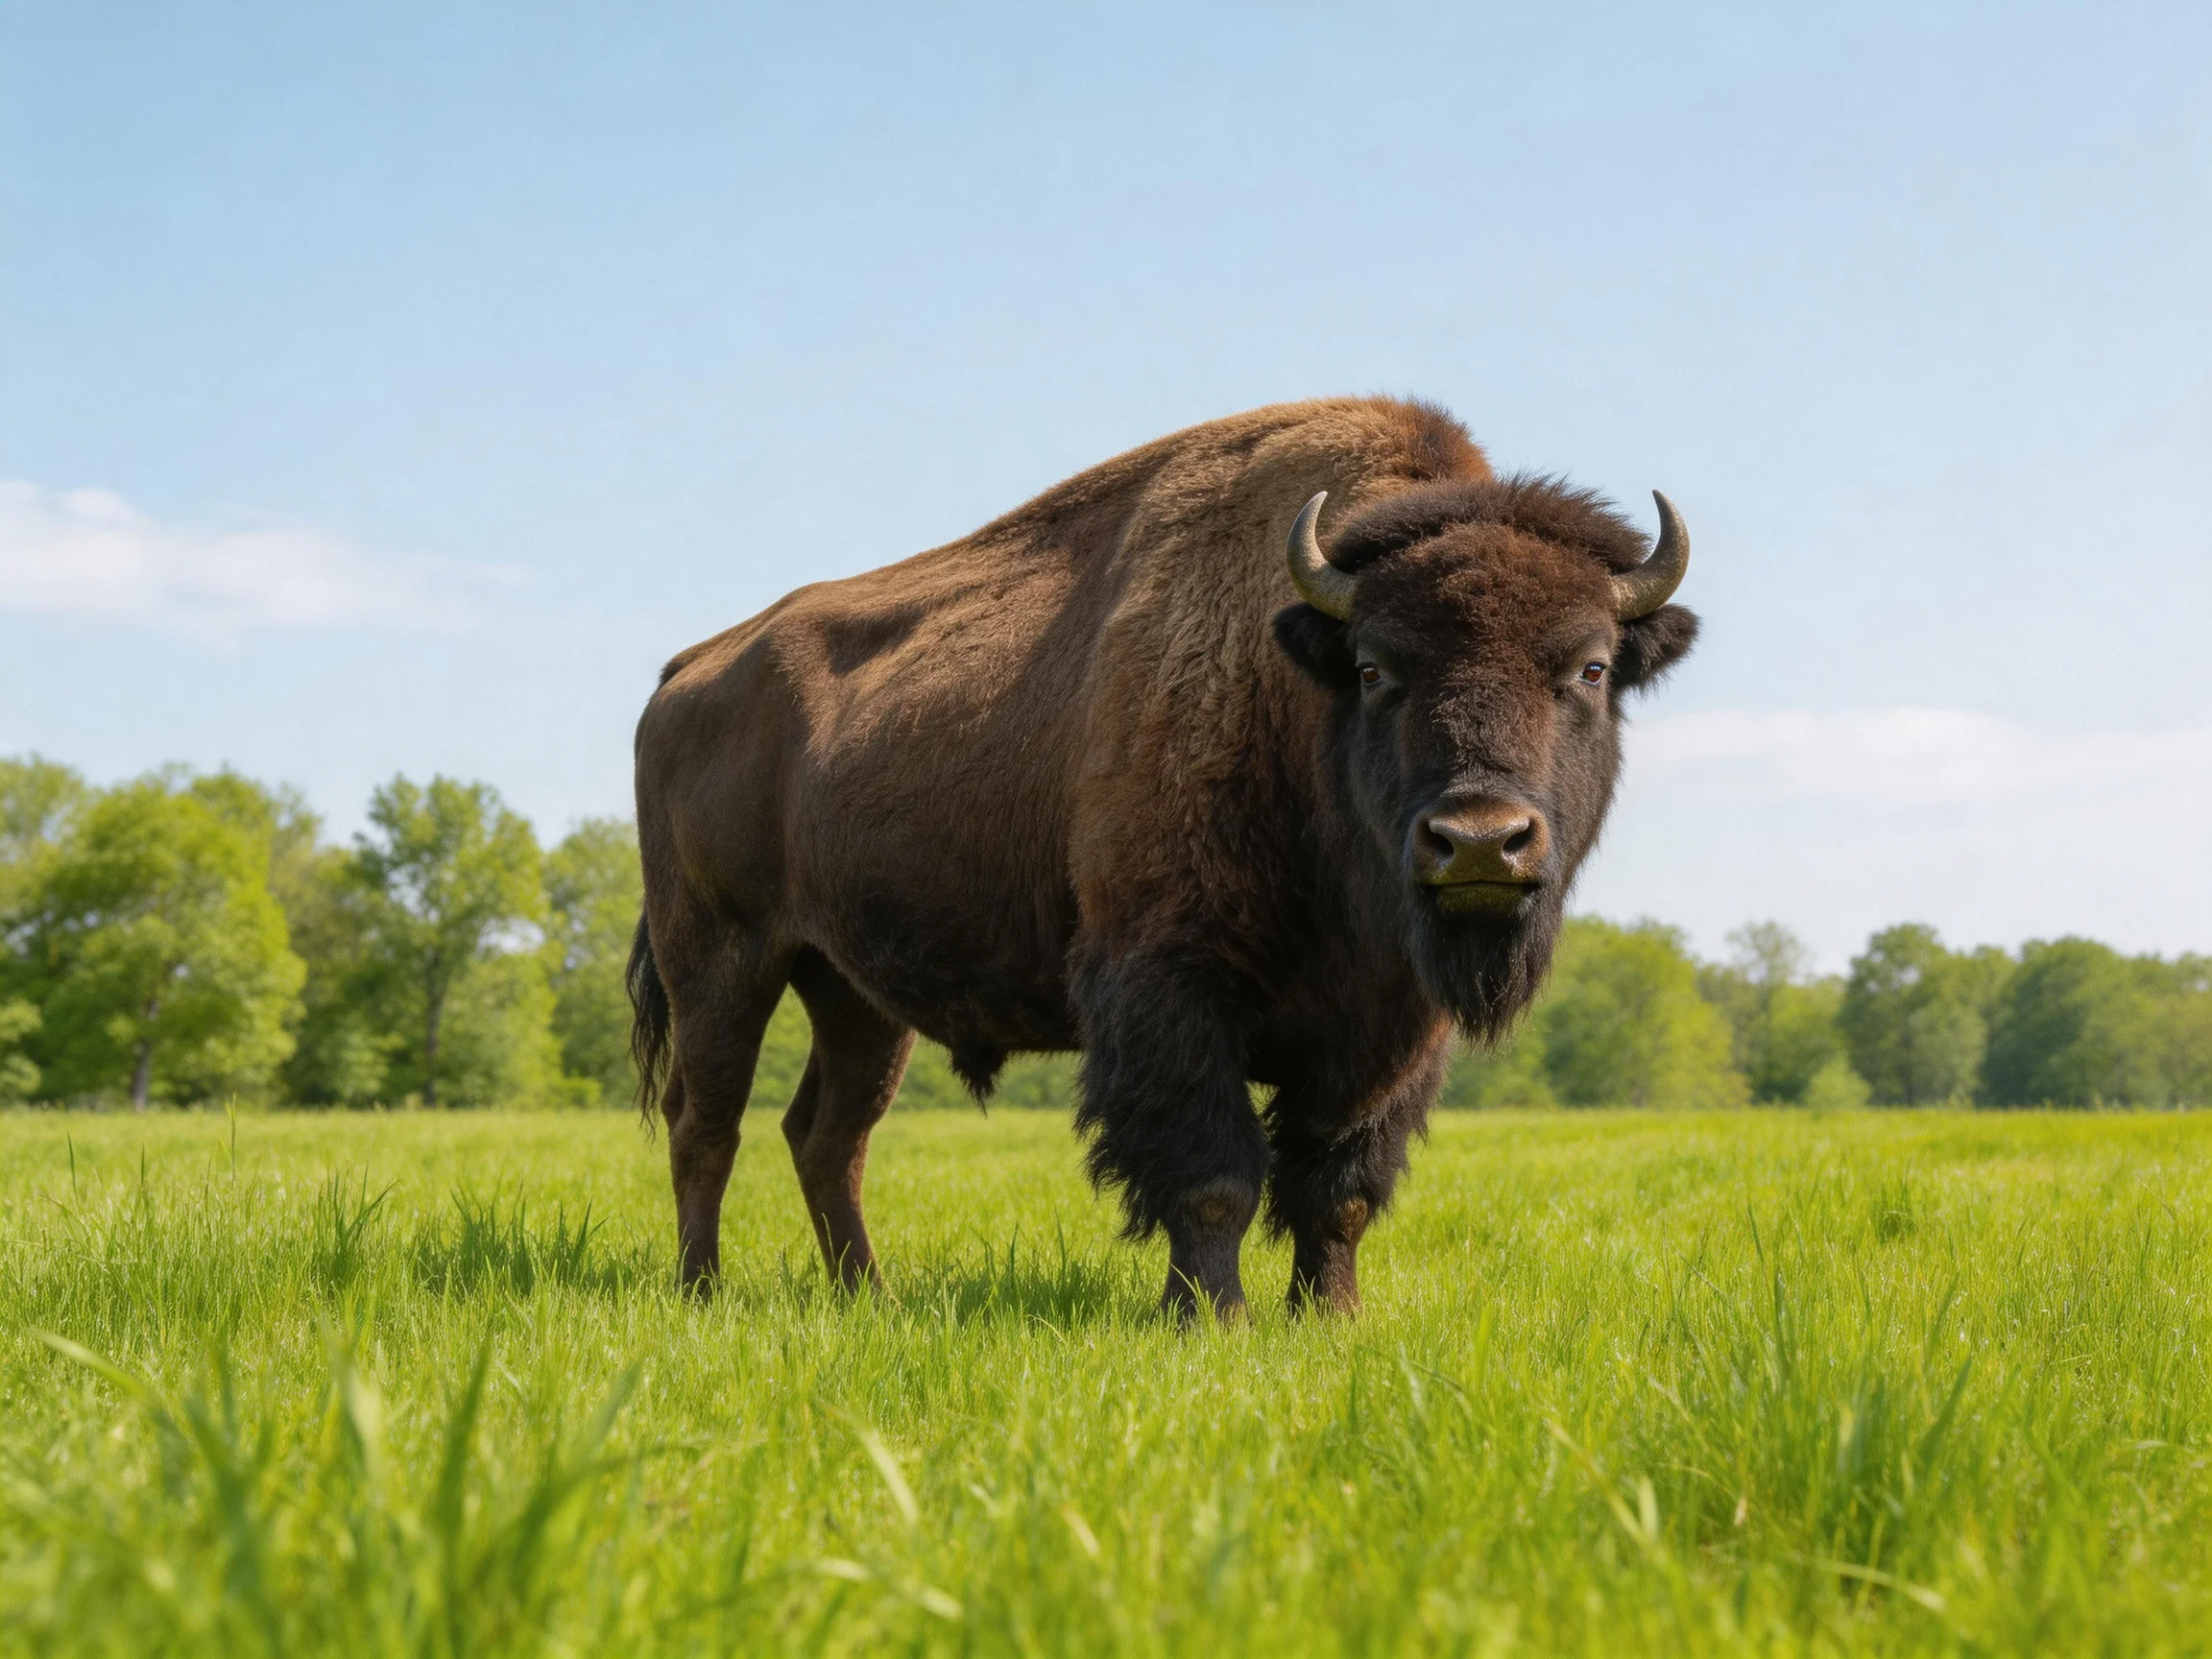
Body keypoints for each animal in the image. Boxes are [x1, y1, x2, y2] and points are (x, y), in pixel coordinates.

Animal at [628, 397, 1697, 1318]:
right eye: (1372, 668)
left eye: (1591, 667)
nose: (1479, 839)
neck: (1287, 689)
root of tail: (684, 673)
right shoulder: (1169, 988)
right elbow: (1214, 1177)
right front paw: (1211, 1321)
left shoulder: (1387, 1028)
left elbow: (1337, 1188)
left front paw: (1330, 1320)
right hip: (722, 959)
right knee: (705, 1122)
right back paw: (701, 1292)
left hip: (854, 995)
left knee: (826, 1135)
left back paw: (868, 1296)